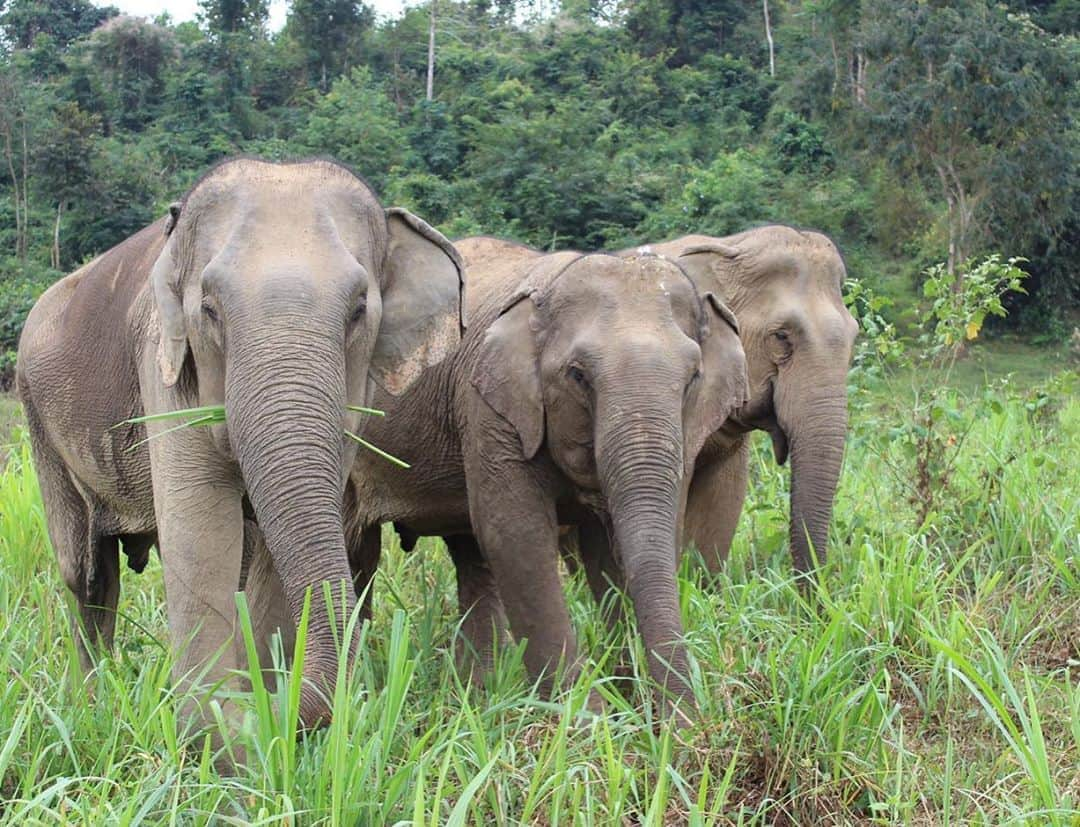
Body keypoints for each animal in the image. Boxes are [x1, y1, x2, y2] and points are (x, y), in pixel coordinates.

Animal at [16, 157, 464, 734]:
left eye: (360, 309)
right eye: (209, 308)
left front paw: (265, 707)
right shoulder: (162, 364)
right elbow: (204, 533)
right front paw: (216, 726)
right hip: (36, 417)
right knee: (87, 575)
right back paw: (90, 704)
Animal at [245, 242, 751, 716]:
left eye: (694, 377)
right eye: (578, 375)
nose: (686, 726)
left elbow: (609, 549)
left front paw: (626, 698)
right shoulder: (489, 408)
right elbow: (516, 535)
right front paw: (584, 719)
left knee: (469, 553)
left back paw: (478, 689)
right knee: (361, 551)